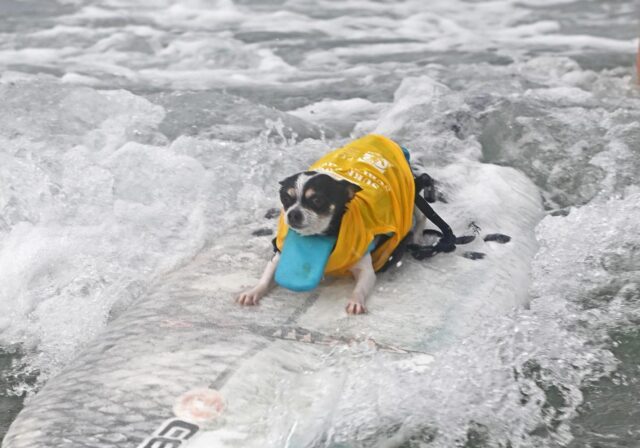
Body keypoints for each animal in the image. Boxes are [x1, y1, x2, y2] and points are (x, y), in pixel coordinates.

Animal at [236, 135, 456, 314]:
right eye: (286, 199)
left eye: (317, 200)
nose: (293, 214)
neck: (320, 237)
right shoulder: (279, 255)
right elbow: (266, 277)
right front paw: (253, 292)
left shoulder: (366, 269)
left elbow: (360, 287)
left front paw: (356, 302)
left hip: (412, 196)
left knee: (421, 217)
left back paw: (417, 237)